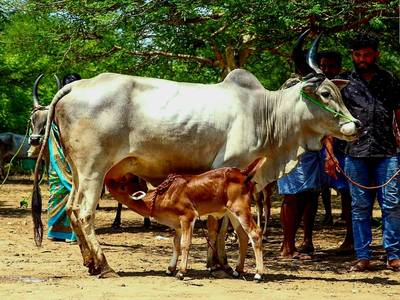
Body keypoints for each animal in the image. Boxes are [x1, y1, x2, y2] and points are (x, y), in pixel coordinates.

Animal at [108, 157, 268, 282]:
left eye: (122, 186)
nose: (109, 180)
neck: (164, 195)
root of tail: (243, 173)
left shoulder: (188, 216)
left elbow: (185, 244)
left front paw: (181, 272)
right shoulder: (177, 224)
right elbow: (175, 244)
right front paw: (170, 268)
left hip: (240, 209)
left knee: (255, 233)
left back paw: (258, 274)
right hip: (232, 213)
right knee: (243, 236)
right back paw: (237, 270)